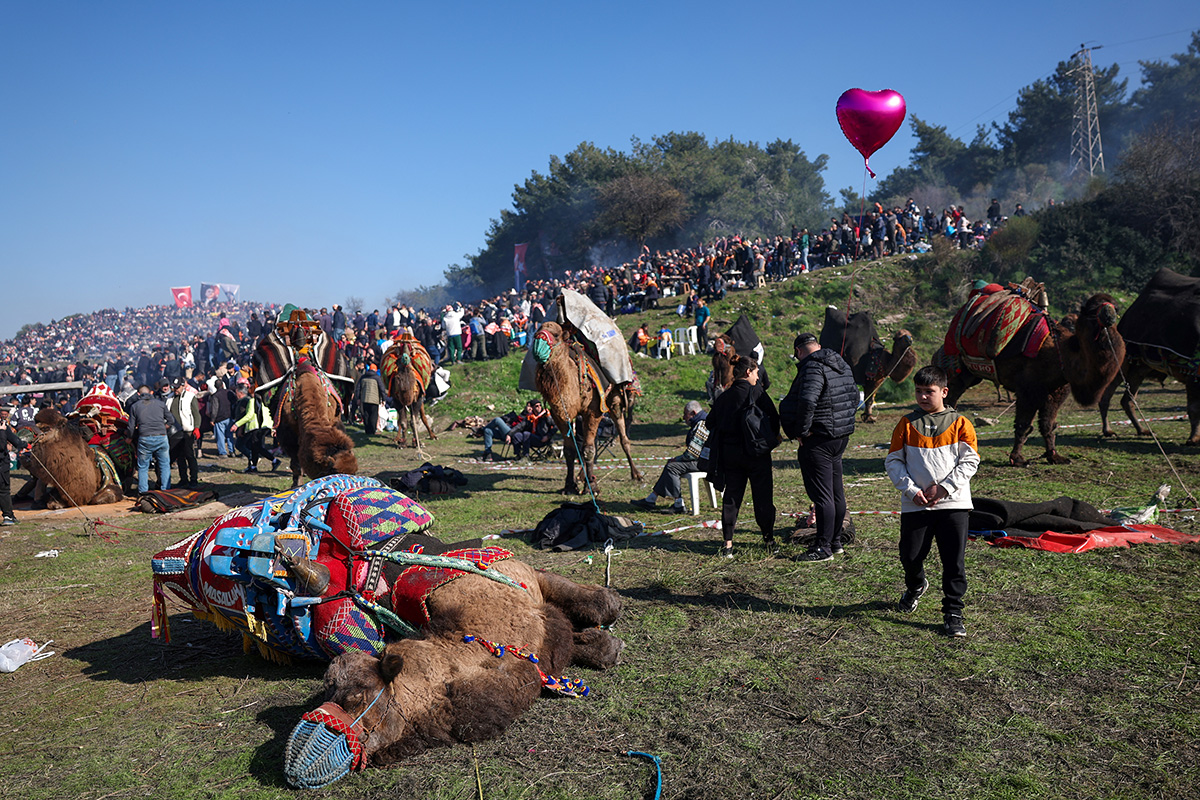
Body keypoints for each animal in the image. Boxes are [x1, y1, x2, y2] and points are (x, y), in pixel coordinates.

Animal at [535, 321, 643, 494]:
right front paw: (569, 485)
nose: (537, 350)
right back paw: (581, 476)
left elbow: (589, 449)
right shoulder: (560, 415)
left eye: (556, 335)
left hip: (615, 402)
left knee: (623, 437)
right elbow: (570, 450)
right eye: (535, 334)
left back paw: (636, 475)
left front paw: (592, 486)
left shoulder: (594, 412)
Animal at [940, 293, 1128, 465]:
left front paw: (1054, 456)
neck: (1063, 355)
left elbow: (1048, 425)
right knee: (951, 395)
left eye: (1116, 307)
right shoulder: (1028, 389)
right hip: (956, 365)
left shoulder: (1056, 391)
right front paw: (1018, 459)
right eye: (1092, 310)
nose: (1109, 316)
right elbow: (1023, 425)